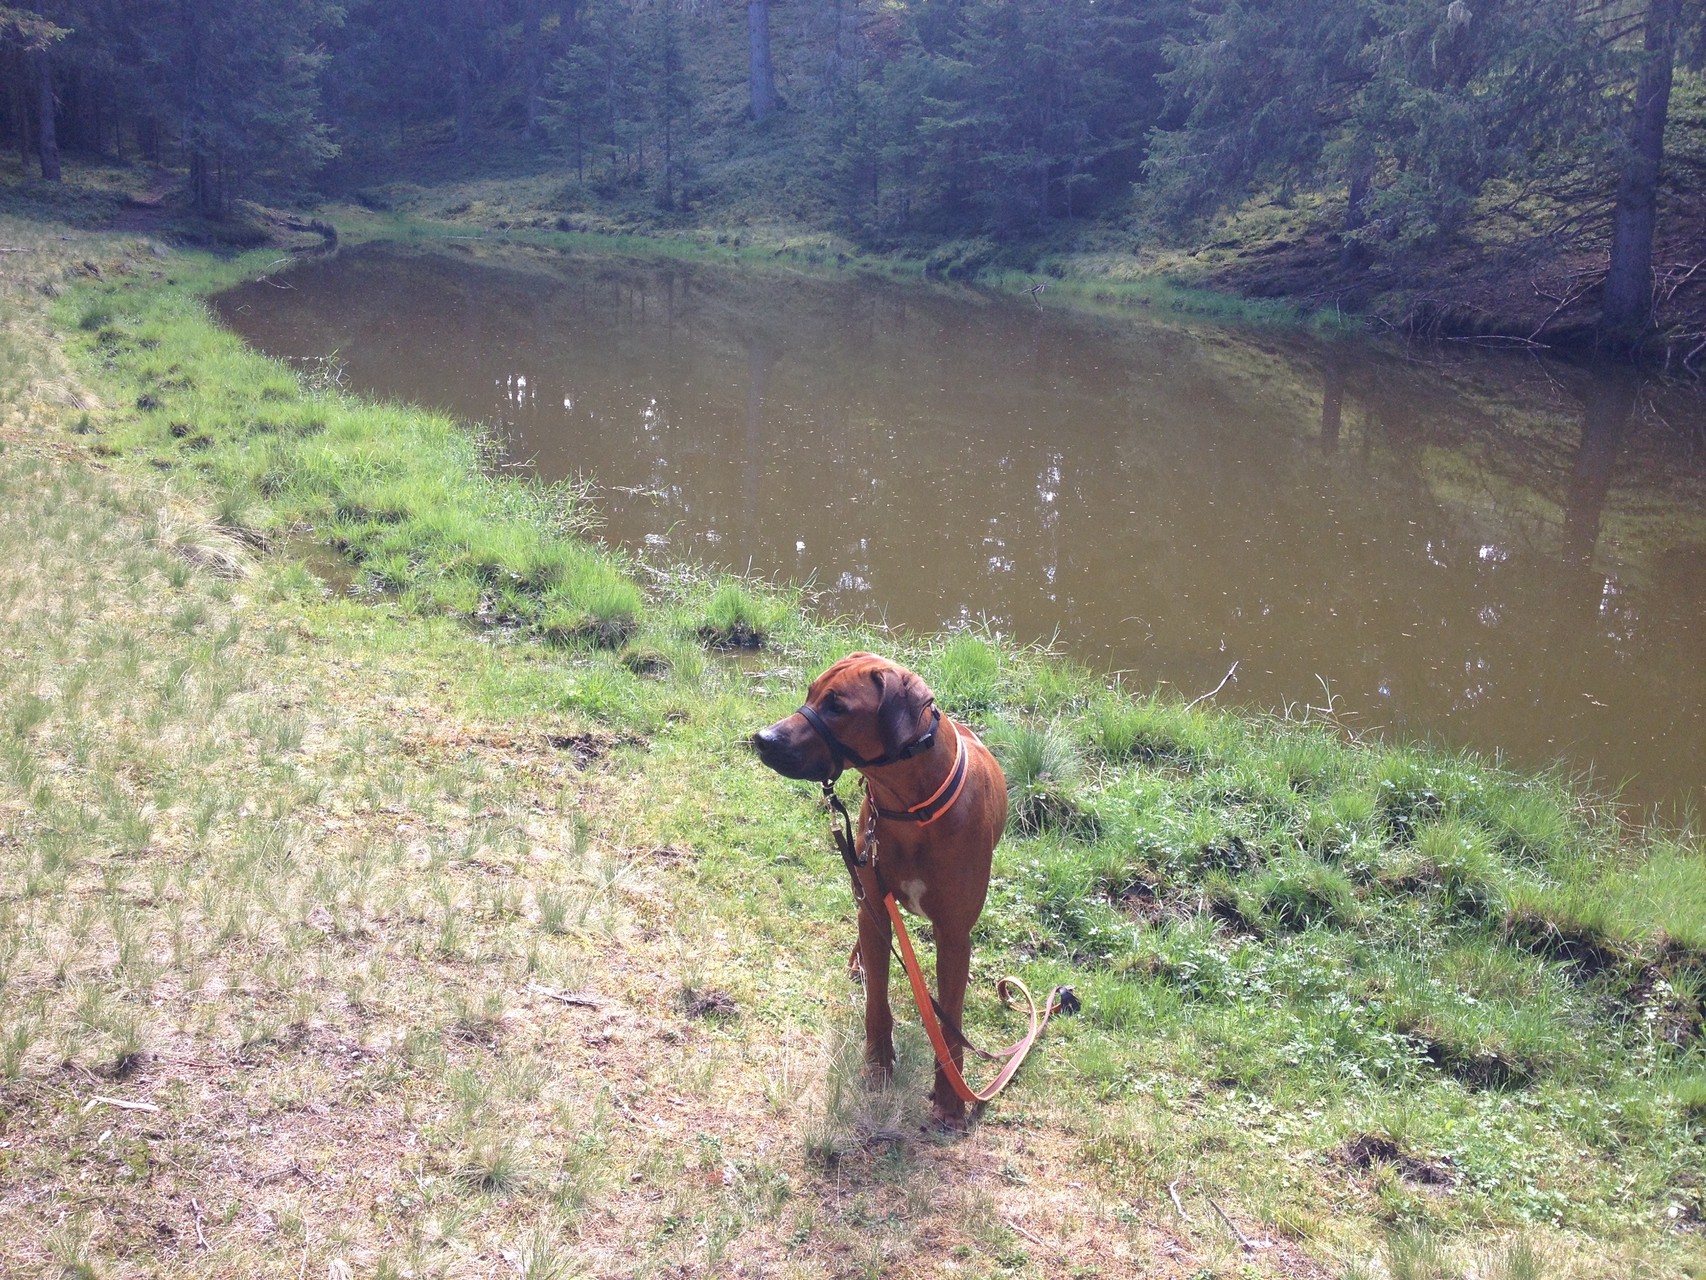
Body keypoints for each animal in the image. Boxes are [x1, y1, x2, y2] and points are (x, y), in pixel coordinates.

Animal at [754, 655, 1003, 1126]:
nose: (762, 738)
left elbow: (950, 1022)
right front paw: (877, 1063)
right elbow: (877, 1005)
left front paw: (951, 1096)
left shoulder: (953, 933)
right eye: (811, 692)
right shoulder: (873, 903)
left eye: (837, 706)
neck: (912, 810)